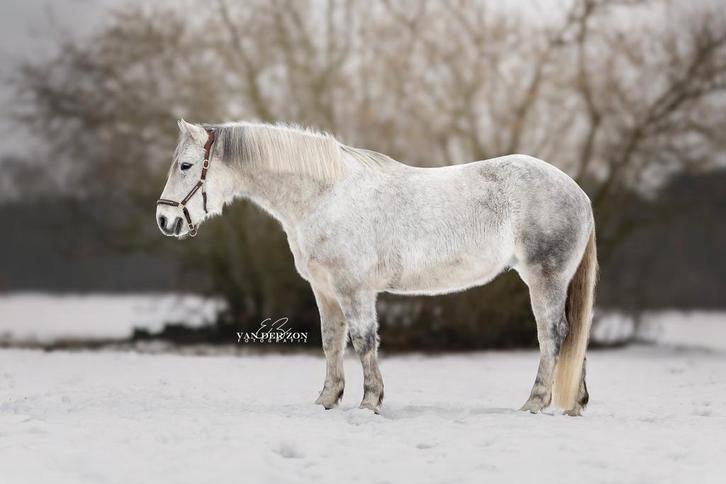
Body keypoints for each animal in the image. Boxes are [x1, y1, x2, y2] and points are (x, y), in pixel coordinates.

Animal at [156, 119, 598, 416]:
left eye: (186, 165)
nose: (164, 220)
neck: (326, 195)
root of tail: (578, 193)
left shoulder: (354, 288)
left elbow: (364, 341)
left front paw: (370, 402)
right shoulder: (325, 290)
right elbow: (331, 342)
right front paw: (327, 399)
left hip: (545, 278)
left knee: (553, 335)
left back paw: (535, 403)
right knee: (574, 333)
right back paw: (574, 404)